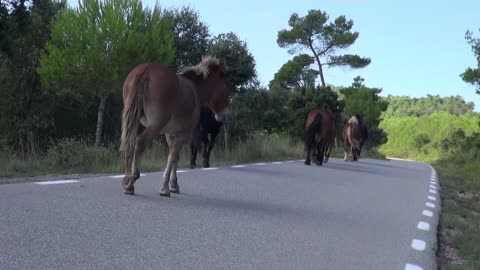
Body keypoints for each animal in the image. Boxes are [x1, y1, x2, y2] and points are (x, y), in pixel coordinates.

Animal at [121, 56, 232, 196]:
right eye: (226, 85)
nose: (226, 115)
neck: (194, 89)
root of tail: (146, 70)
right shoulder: (182, 134)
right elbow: (173, 156)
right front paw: (165, 187)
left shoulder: (170, 133)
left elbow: (174, 157)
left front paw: (173, 185)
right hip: (155, 125)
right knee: (140, 143)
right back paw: (132, 180)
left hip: (133, 119)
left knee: (129, 142)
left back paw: (126, 180)